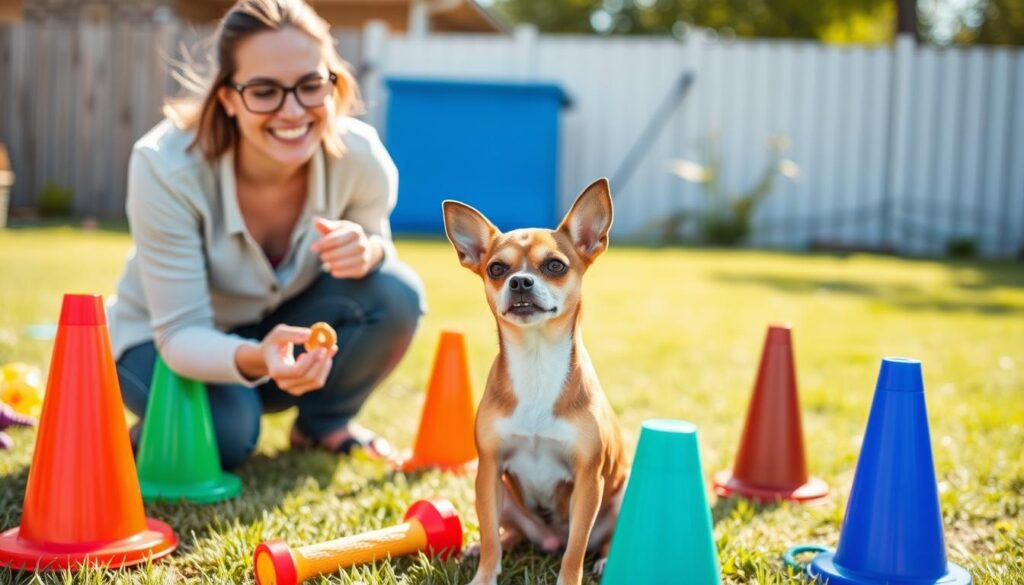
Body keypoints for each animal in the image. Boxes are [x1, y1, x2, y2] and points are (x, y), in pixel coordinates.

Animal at [442, 178, 626, 585]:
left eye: (555, 265)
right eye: (496, 268)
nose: (521, 281)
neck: (537, 360)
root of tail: (548, 539)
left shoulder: (588, 480)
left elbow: (575, 550)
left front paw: (570, 579)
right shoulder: (489, 470)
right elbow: (490, 533)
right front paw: (484, 575)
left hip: (620, 496)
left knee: (596, 540)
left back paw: (606, 559)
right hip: (504, 498)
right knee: (505, 534)